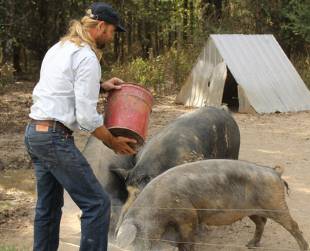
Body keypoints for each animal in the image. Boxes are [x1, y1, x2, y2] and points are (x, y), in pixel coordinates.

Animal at [115, 159, 308, 251]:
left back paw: (303, 248)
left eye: (133, 242)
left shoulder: (188, 215)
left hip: (276, 204)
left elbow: (187, 241)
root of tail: (274, 172)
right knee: (261, 222)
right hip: (251, 209)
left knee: (294, 225)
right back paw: (250, 245)